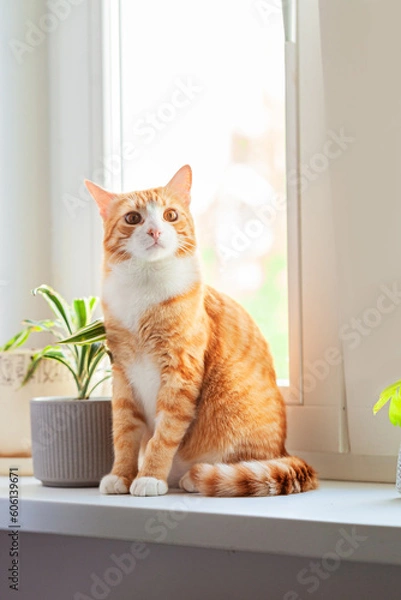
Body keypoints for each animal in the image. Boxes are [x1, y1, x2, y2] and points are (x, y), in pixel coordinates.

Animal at [84, 165, 316, 496]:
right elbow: (124, 435)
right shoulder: (122, 375)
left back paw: (194, 477)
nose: (155, 231)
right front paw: (122, 476)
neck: (144, 286)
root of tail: (284, 452)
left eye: (170, 215)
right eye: (133, 218)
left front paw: (149, 477)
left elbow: (163, 436)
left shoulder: (180, 373)